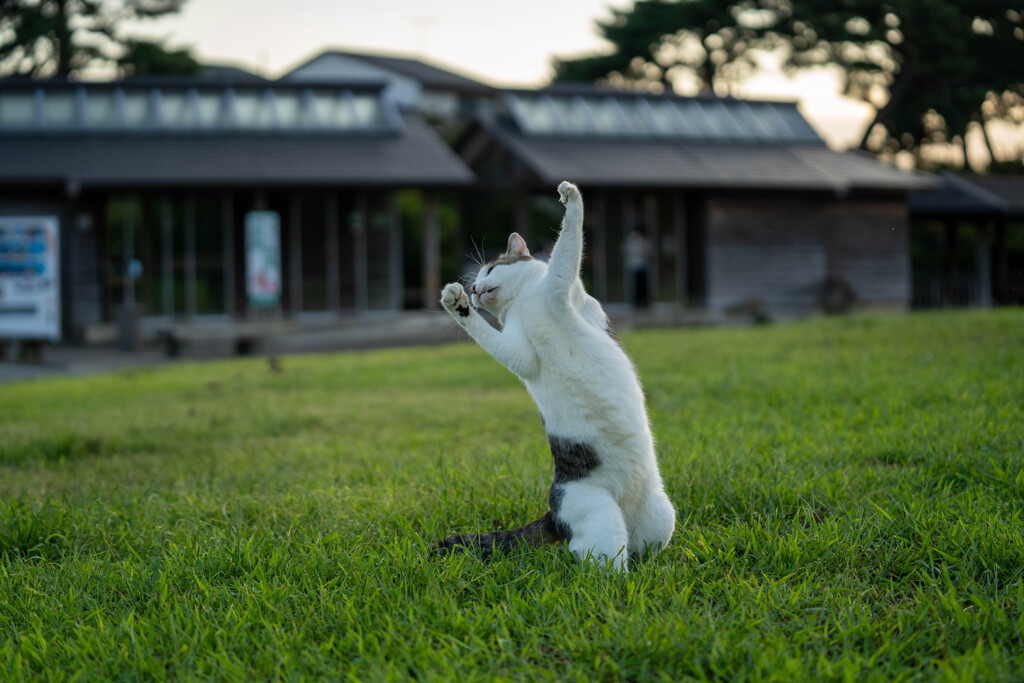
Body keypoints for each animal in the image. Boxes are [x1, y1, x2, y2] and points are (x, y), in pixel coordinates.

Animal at [430, 181, 675, 573]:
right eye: (476, 279)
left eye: (490, 268)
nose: (473, 290)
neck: (524, 300)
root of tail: (552, 514)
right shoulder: (522, 350)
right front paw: (456, 305)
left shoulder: (562, 290)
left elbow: (567, 244)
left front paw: (570, 197)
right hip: (600, 517)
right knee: (599, 564)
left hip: (660, 517)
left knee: (639, 553)